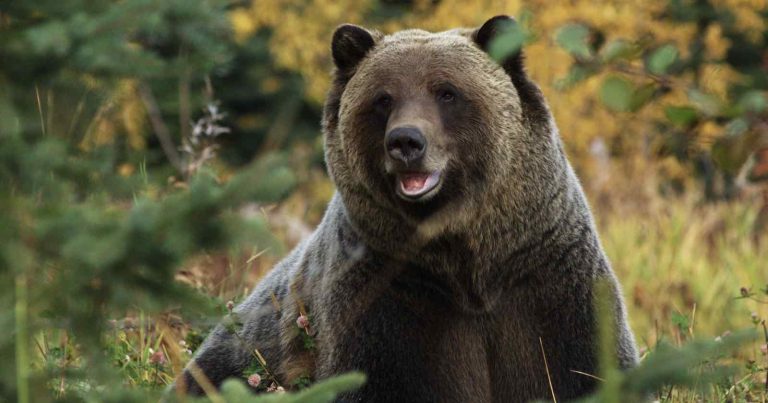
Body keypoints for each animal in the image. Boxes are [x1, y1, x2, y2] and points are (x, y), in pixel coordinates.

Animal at [177, 14, 640, 402]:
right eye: (383, 98)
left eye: (447, 92)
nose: (405, 141)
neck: (467, 264)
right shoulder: (389, 294)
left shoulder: (549, 284)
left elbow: (582, 369)